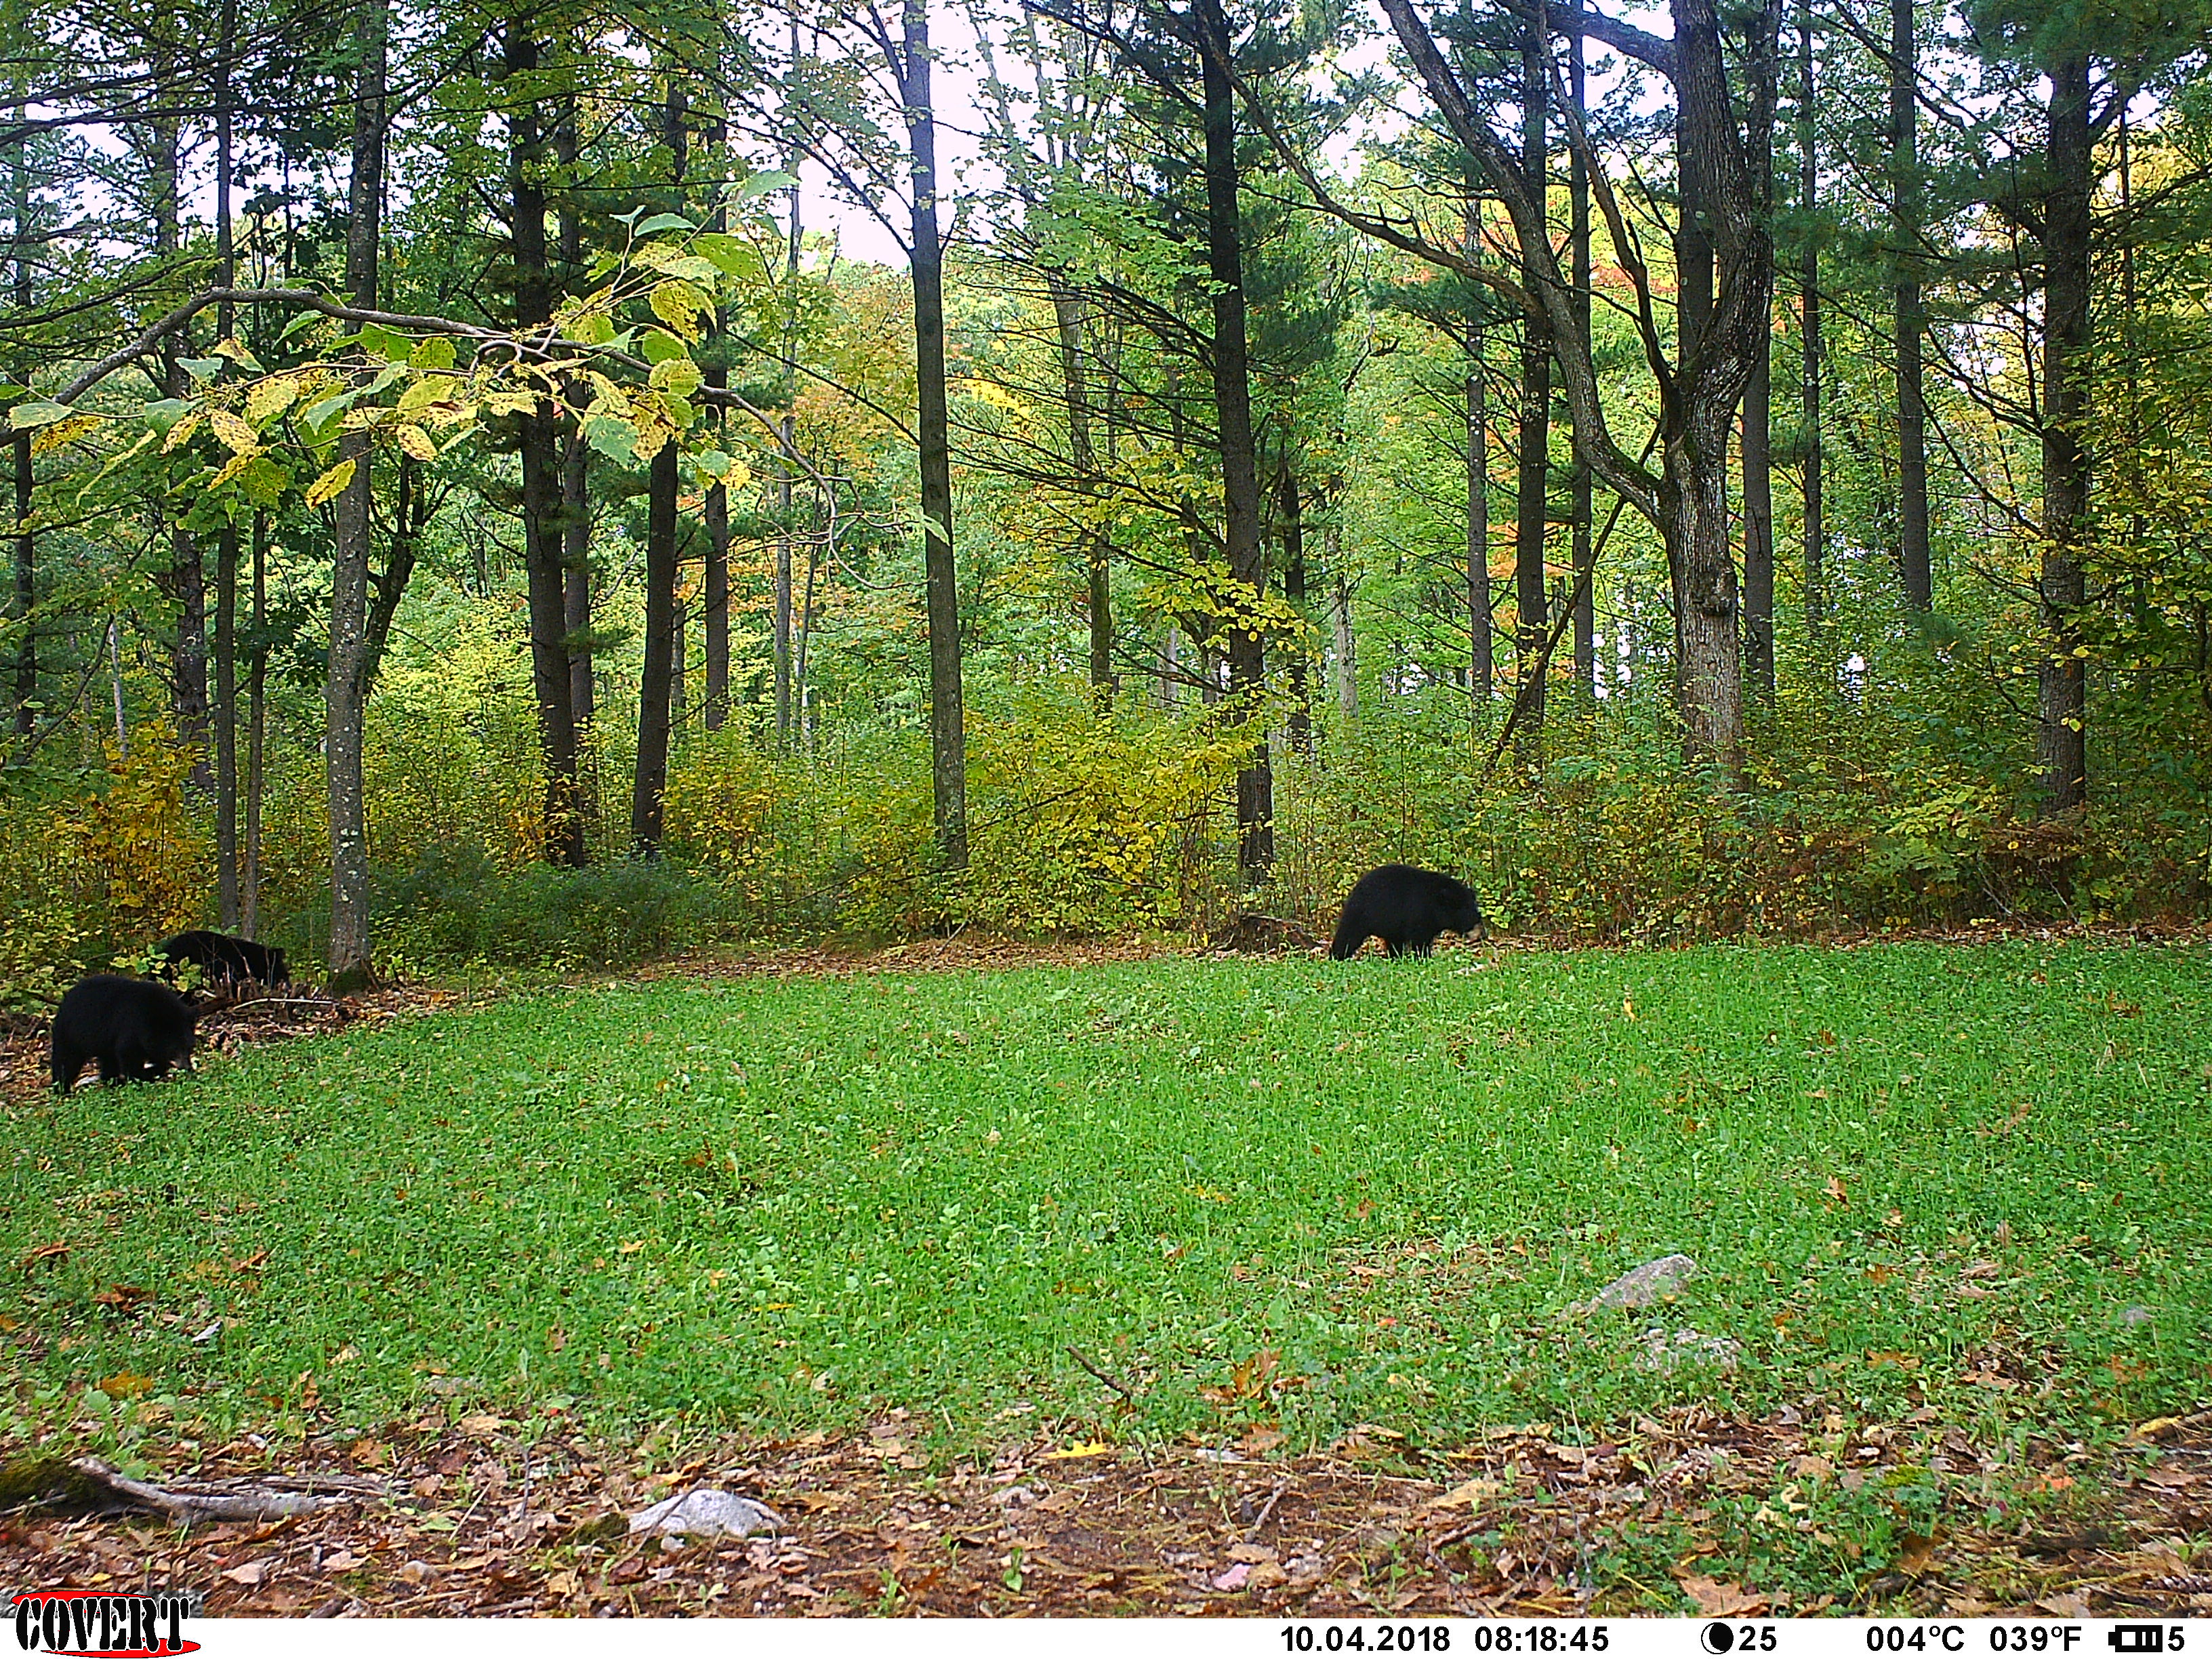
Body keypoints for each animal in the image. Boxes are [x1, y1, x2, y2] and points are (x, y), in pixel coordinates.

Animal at [52, 973, 198, 1092]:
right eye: (174, 1048)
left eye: (190, 1047)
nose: (186, 1067)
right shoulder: (131, 1025)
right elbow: (129, 1053)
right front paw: (139, 1079)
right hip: (72, 1032)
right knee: (66, 1060)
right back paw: (62, 1089)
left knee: (108, 1059)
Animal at [1327, 872, 1486, 960]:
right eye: (1470, 916)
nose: (1483, 935)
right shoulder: (1419, 912)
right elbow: (1420, 939)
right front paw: (1424, 957)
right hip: (1362, 913)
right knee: (1349, 934)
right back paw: (1337, 956)